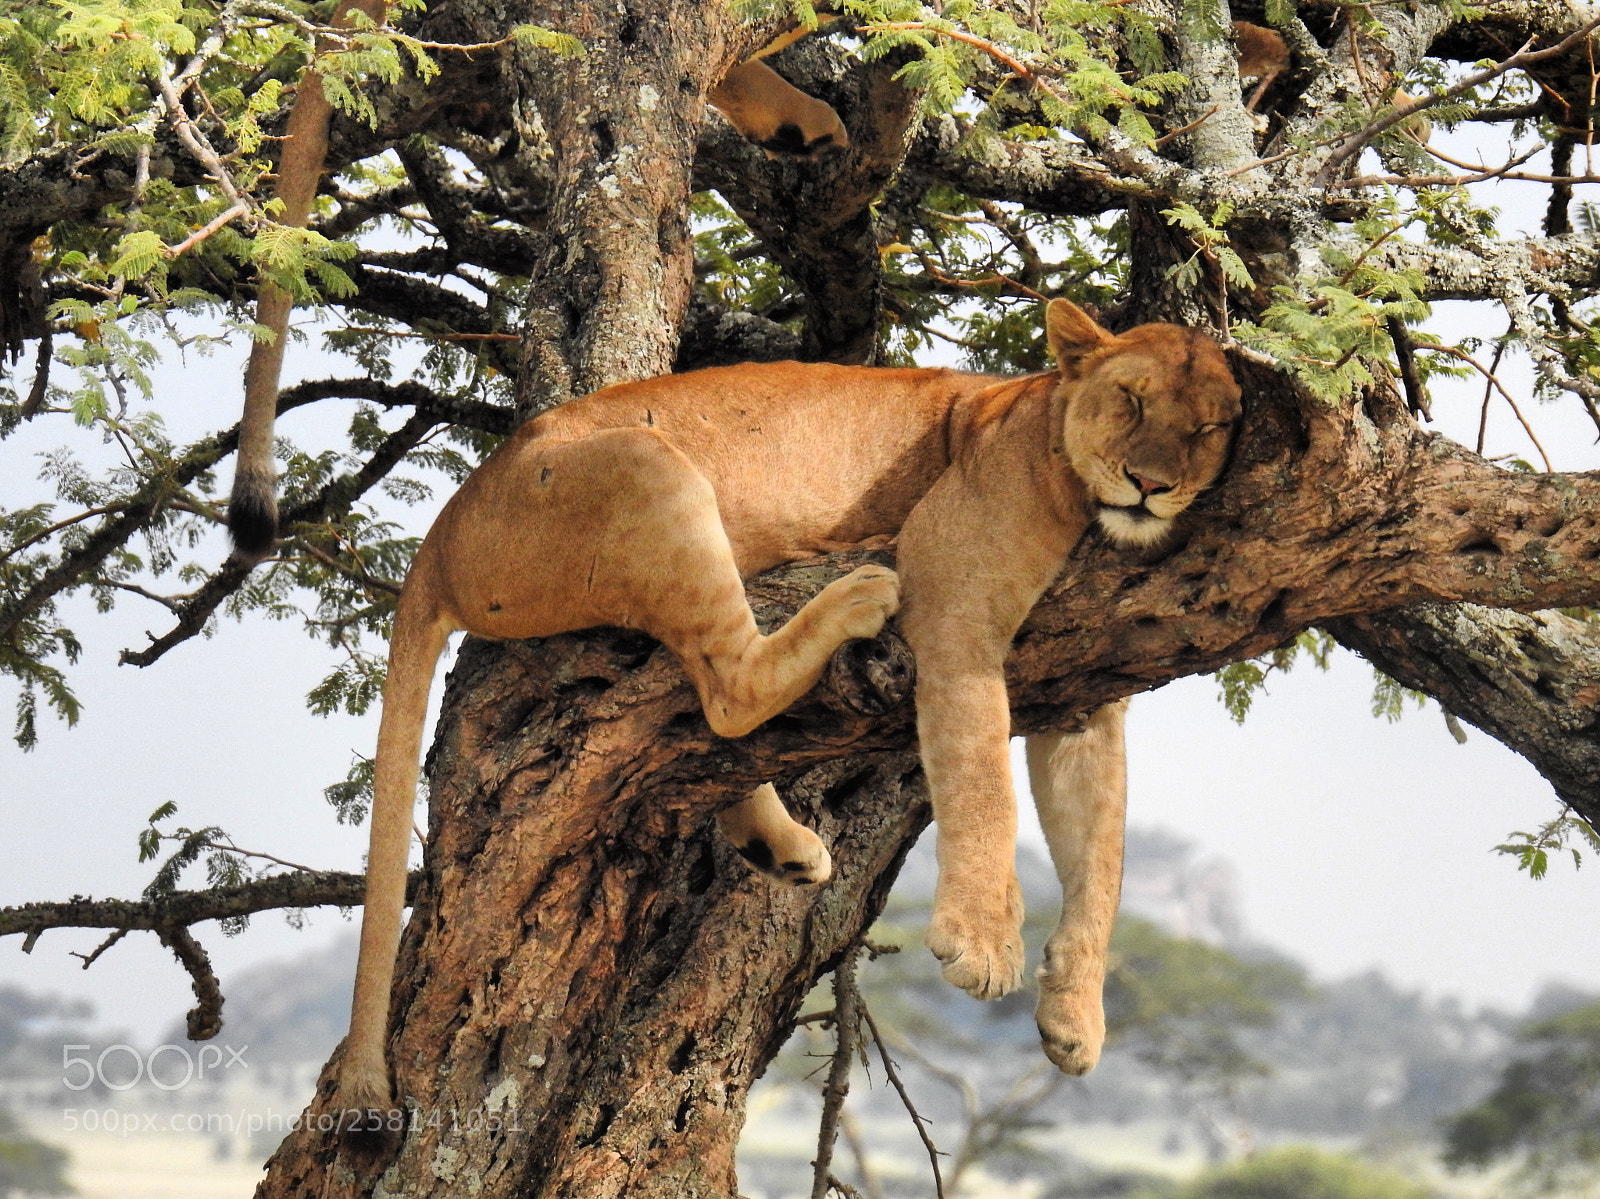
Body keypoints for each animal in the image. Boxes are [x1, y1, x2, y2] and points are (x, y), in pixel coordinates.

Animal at [334, 299, 1242, 1119]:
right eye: (1130, 400)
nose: (1150, 486)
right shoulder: (954, 594)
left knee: (714, 707)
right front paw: (985, 940)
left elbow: (1104, 855)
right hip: (647, 463)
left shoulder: (1090, 702)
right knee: (731, 691)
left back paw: (780, 844)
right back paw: (854, 599)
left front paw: (1076, 1016)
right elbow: (983, 778)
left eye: (1207, 428)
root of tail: (442, 530)